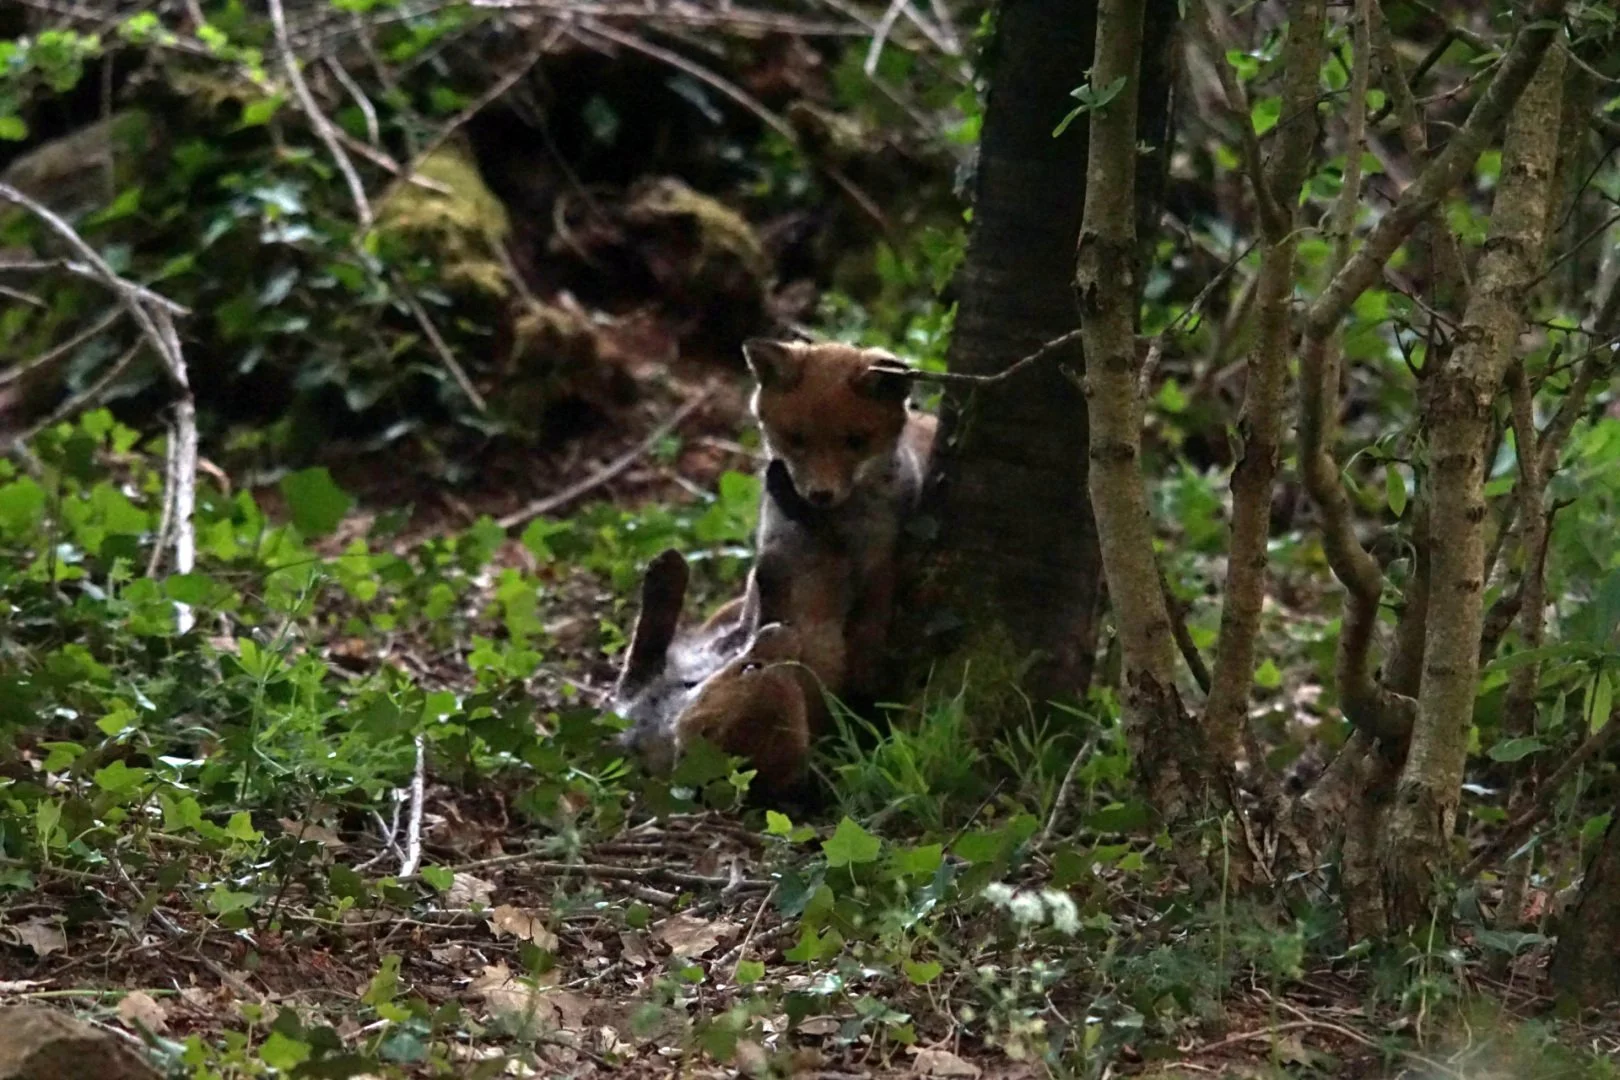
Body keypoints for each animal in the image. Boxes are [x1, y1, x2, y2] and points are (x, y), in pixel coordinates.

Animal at [741, 338, 937, 701]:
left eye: (855, 441)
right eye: (796, 439)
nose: (821, 494)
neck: (838, 529)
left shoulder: (880, 561)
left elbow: (868, 634)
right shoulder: (782, 553)